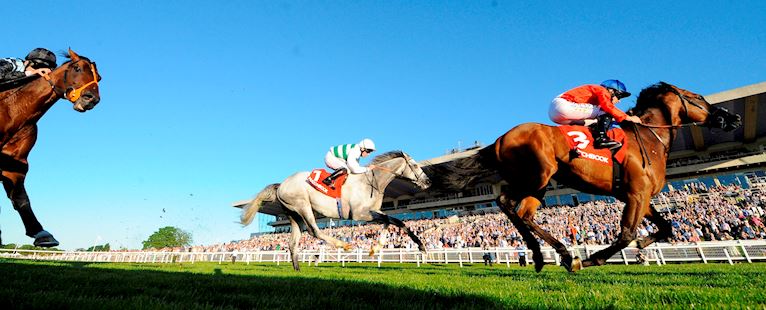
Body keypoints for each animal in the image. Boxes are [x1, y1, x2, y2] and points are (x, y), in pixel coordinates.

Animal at [0, 48, 101, 247]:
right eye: (77, 68)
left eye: (99, 78)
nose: (91, 99)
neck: (13, 110)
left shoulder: (15, 164)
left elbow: (21, 199)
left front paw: (41, 233)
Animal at [242, 151, 432, 270]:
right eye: (415, 165)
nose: (428, 181)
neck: (372, 182)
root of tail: (281, 184)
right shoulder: (360, 214)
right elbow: (389, 221)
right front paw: (375, 248)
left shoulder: (374, 212)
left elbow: (395, 221)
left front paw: (420, 246)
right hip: (303, 206)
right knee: (314, 230)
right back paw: (343, 245)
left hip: (294, 214)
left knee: (293, 242)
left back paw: (297, 270)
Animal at [428, 82, 740, 272]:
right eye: (698, 99)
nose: (733, 118)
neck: (650, 138)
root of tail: (500, 139)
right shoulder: (636, 194)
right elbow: (627, 233)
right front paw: (593, 258)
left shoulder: (641, 196)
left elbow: (666, 227)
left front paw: (641, 246)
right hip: (537, 176)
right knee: (506, 202)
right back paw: (559, 255)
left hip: (538, 185)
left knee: (521, 213)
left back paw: (550, 255)